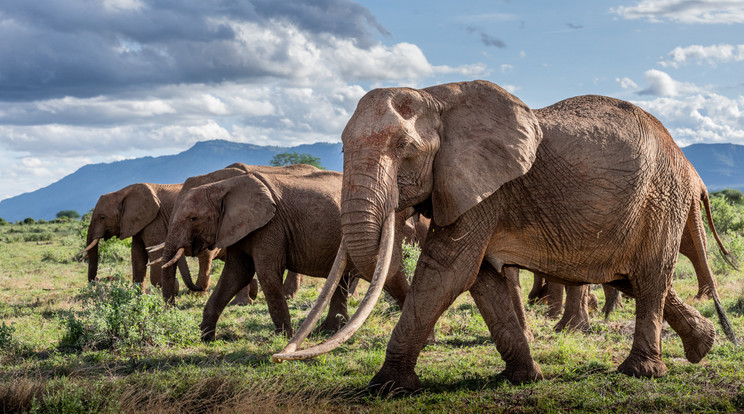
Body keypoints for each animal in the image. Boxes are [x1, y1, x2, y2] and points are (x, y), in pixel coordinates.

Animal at [160, 167, 412, 342]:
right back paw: (327, 332)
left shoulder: (270, 226)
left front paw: (284, 338)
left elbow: (267, 273)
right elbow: (235, 274)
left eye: (193, 218)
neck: (222, 186)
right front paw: (207, 339)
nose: (170, 309)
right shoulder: (240, 229)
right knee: (344, 278)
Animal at [274, 80, 740, 392]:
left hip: (662, 198)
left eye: (406, 150)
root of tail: (685, 160)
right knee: (630, 278)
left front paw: (386, 387)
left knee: (648, 279)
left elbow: (447, 271)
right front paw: (522, 379)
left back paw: (640, 372)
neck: (437, 96)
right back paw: (703, 346)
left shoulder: (486, 188)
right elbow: (481, 278)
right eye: (342, 148)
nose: (278, 356)